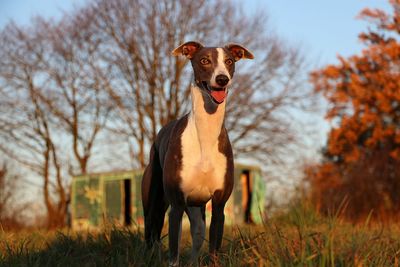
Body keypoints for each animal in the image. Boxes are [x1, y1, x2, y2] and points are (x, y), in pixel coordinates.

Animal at [141, 40, 253, 266]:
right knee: (151, 230)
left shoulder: (219, 206)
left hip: (196, 209)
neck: (205, 136)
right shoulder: (176, 205)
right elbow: (173, 254)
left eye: (229, 61)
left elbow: (213, 248)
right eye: (204, 60)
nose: (222, 79)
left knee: (198, 234)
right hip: (154, 201)